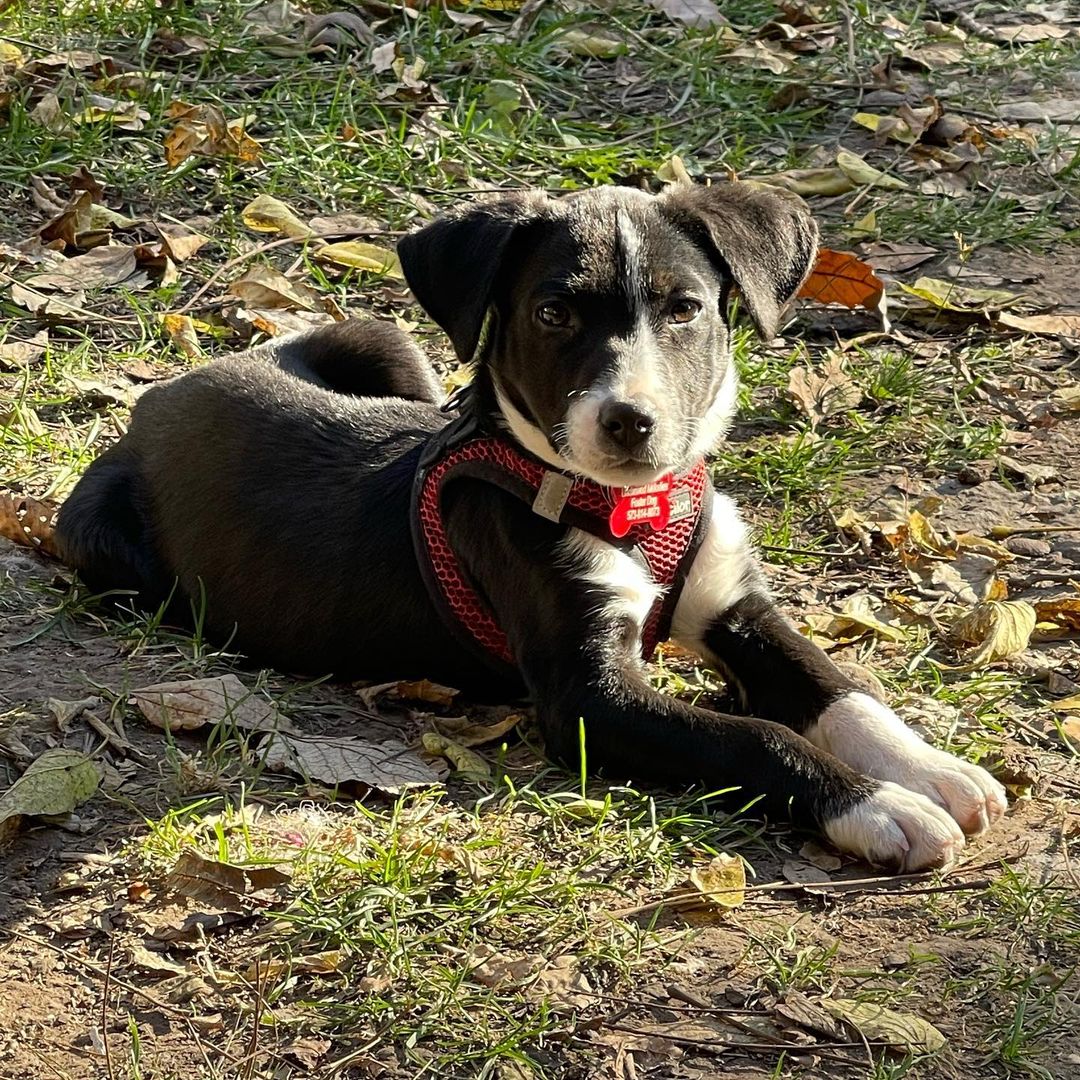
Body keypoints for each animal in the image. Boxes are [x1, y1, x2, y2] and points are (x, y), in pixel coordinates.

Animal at [54, 183, 1006, 868]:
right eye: (553, 314)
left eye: (685, 309)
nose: (629, 421)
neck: (634, 507)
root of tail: (164, 394)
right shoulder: (587, 698)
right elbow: (757, 736)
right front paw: (878, 806)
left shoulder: (737, 607)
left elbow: (838, 687)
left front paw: (930, 769)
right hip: (95, 538)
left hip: (385, 342)